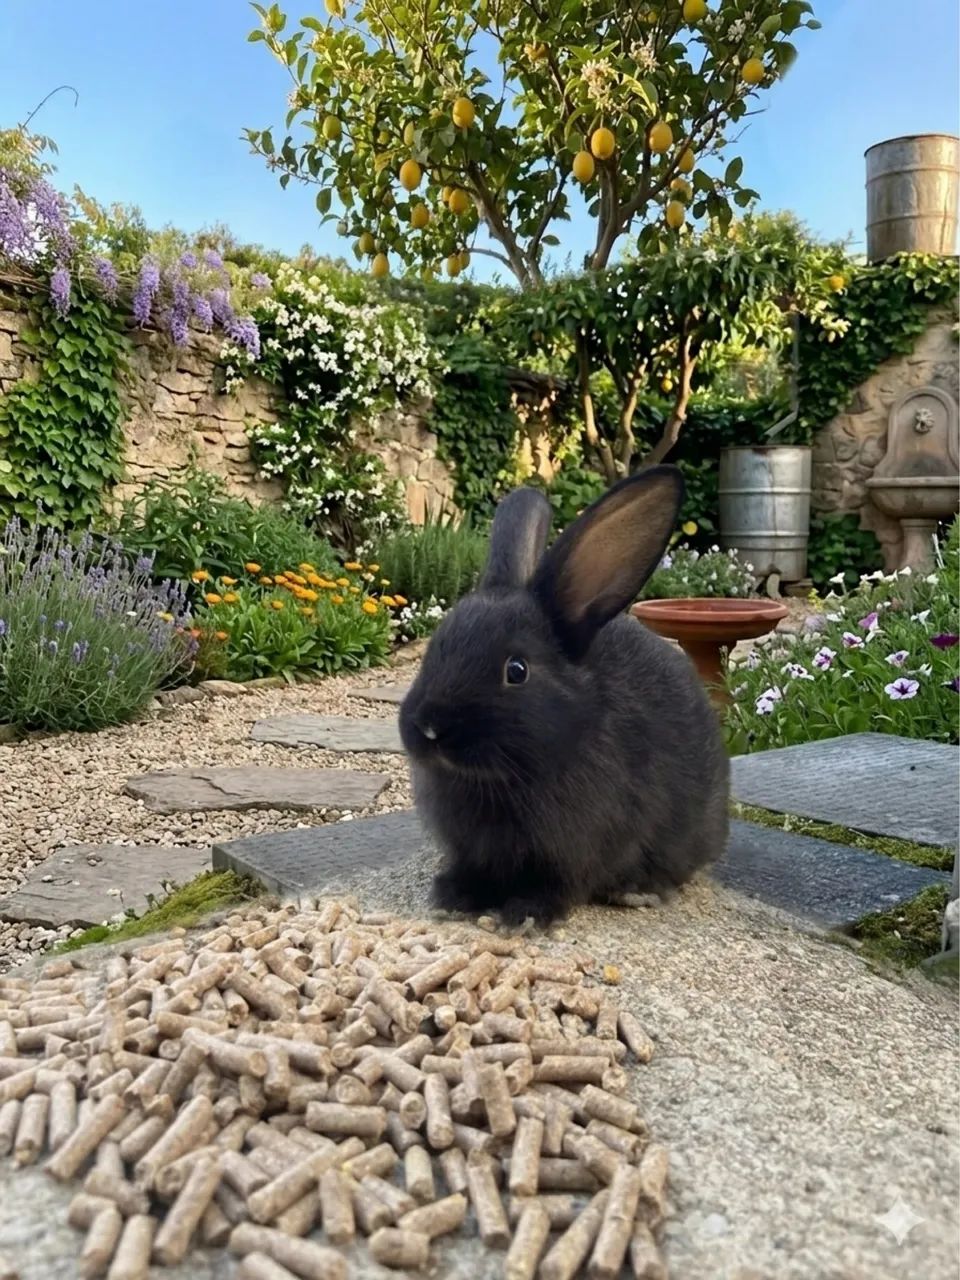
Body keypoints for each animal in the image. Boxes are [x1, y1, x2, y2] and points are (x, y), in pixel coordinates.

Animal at [398, 464, 729, 926]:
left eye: (516, 671)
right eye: (434, 648)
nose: (429, 728)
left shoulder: (577, 850)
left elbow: (559, 885)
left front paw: (525, 916)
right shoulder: (471, 849)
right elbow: (473, 870)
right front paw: (452, 897)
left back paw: (637, 891)